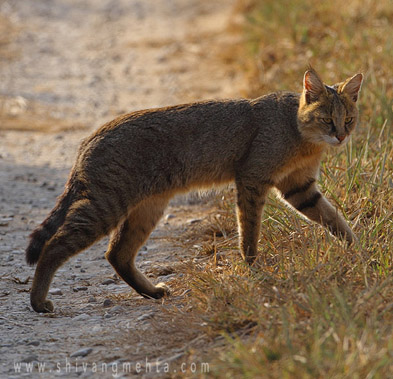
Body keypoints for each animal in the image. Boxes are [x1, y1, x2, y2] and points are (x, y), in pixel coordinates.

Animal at [25, 69, 362, 314]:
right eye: (326, 119)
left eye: (348, 119)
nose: (341, 136)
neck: (299, 134)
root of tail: (89, 139)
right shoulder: (252, 179)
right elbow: (249, 231)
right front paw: (254, 267)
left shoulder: (299, 187)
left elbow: (335, 219)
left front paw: (358, 250)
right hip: (105, 206)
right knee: (54, 246)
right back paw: (38, 302)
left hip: (145, 209)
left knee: (116, 254)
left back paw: (151, 292)